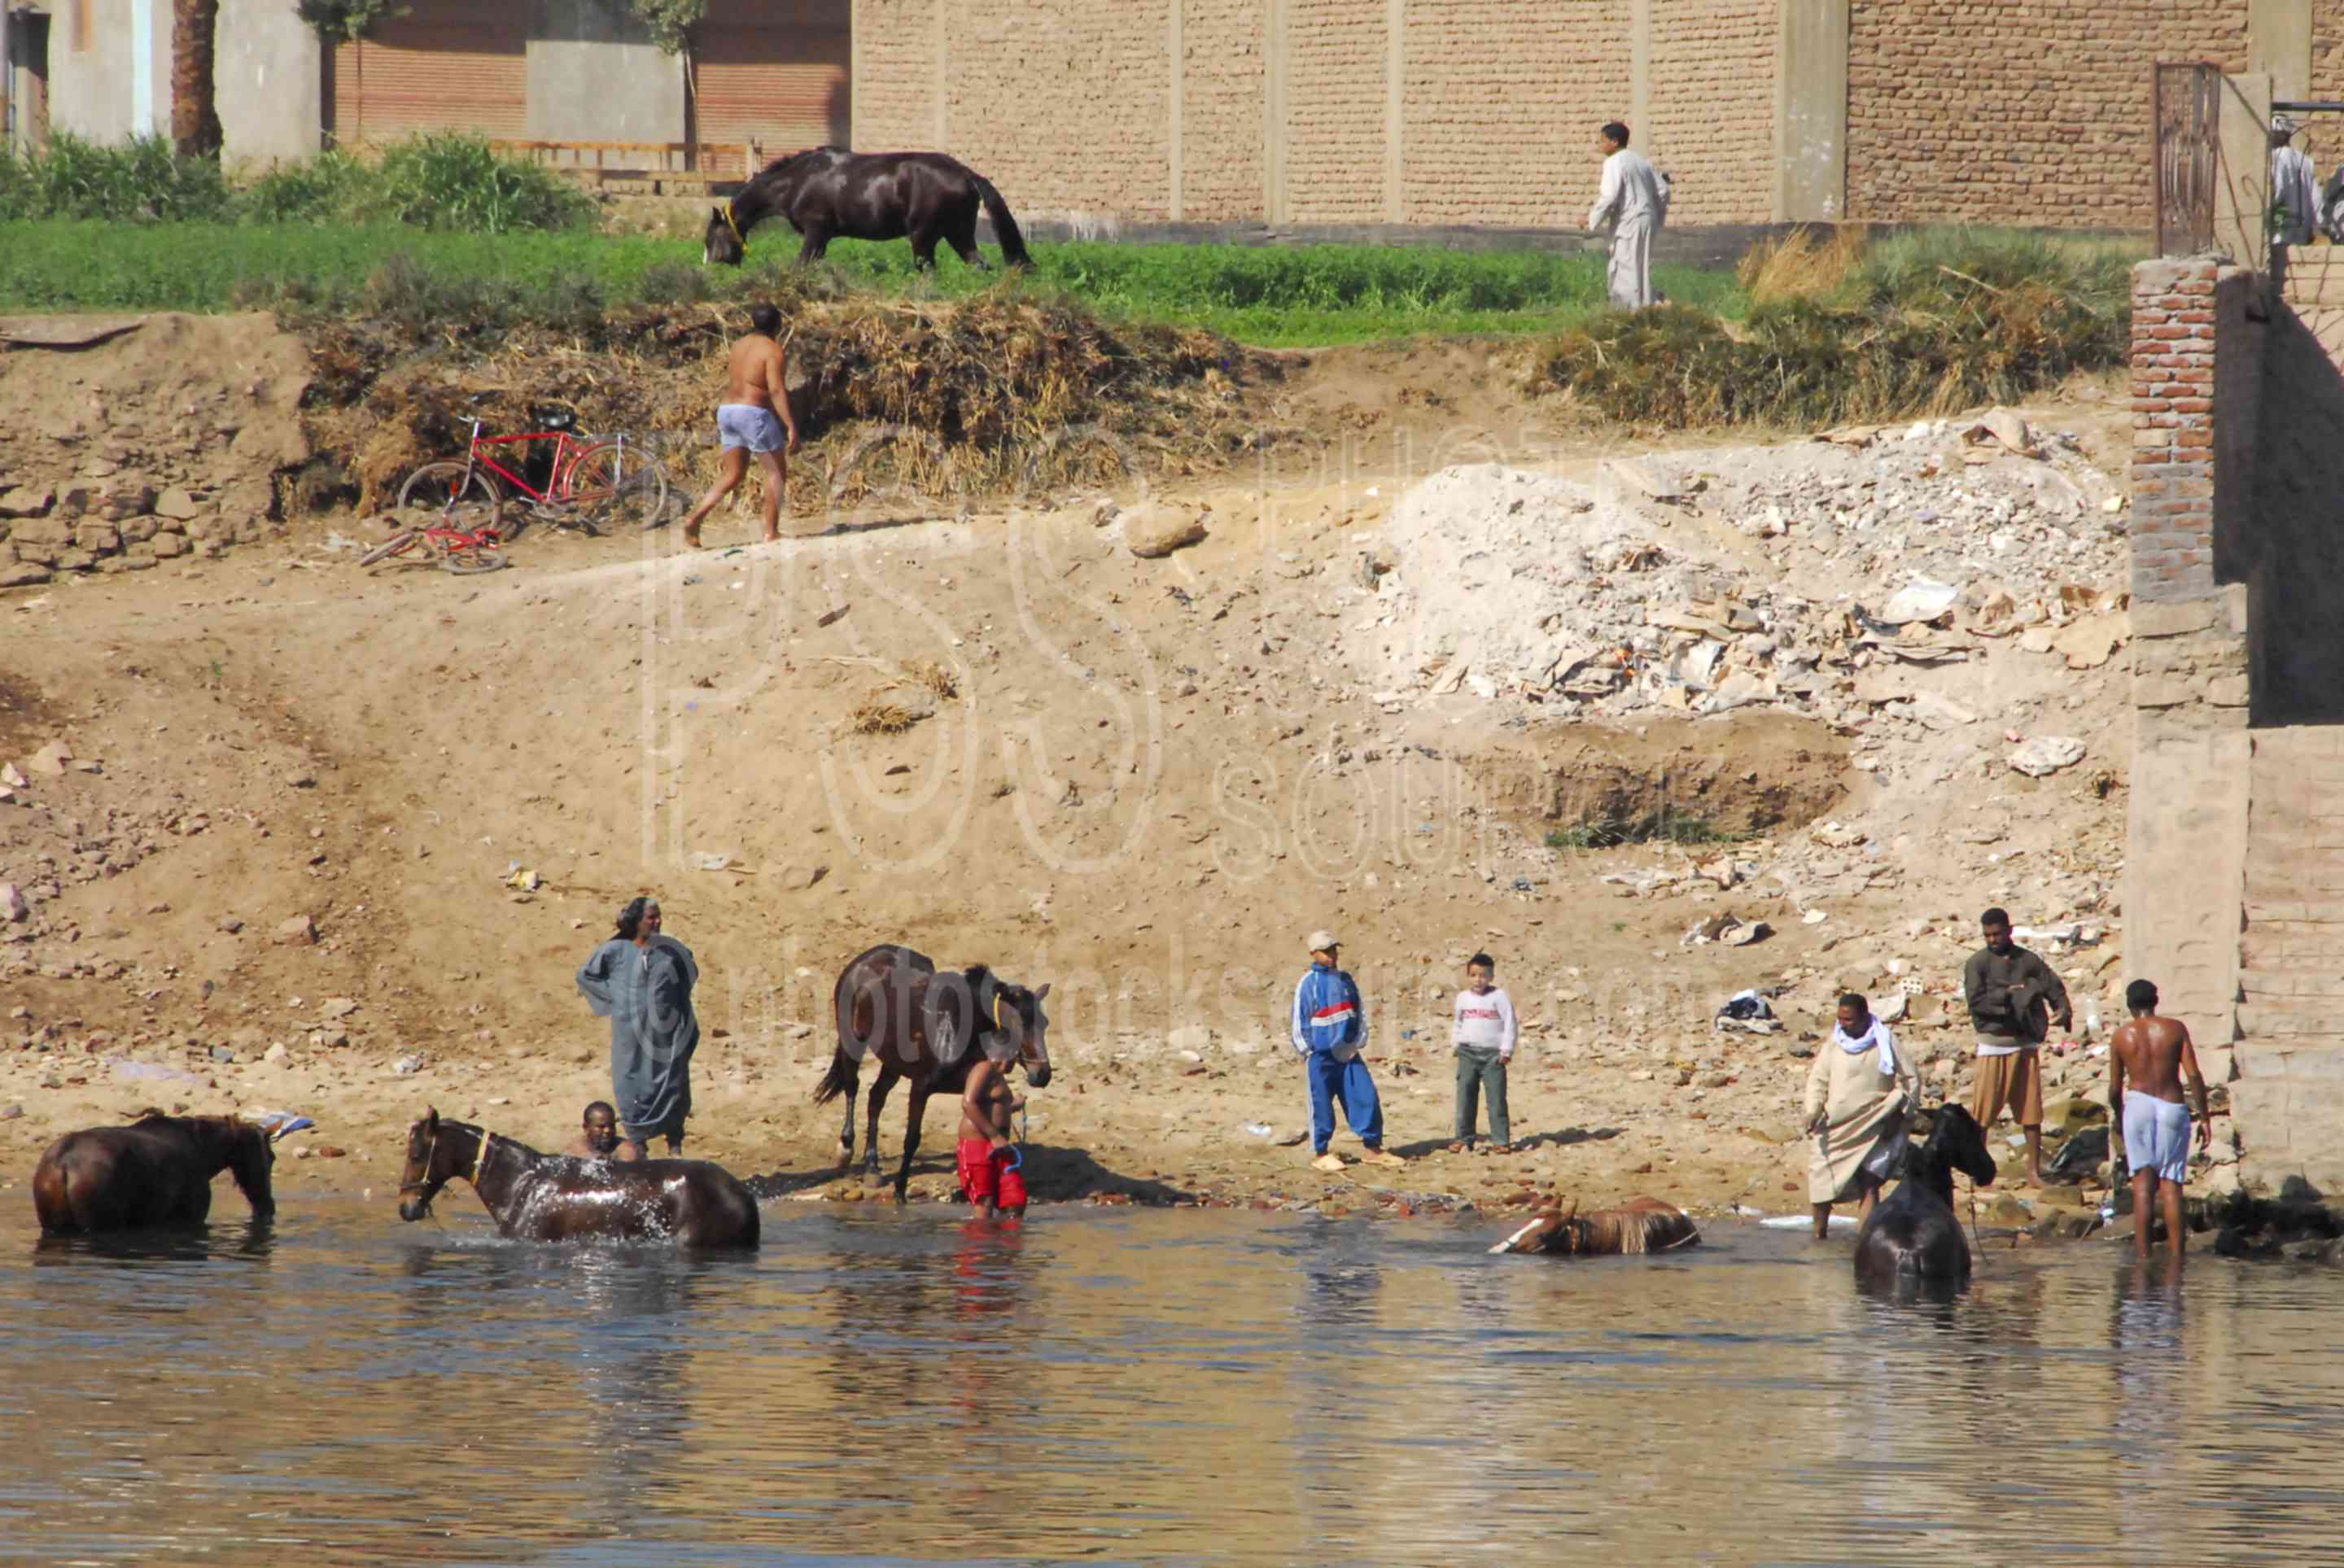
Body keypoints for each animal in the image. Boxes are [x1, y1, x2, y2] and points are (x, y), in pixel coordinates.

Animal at [32, 1109, 295, 1234]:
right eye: (272, 1157)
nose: (268, 1207)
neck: (206, 1153)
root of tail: (62, 1167)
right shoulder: (189, 1218)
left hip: (54, 1226)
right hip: (98, 1224)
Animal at [703, 147, 1031, 272]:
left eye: (710, 239)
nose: (711, 269)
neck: (799, 180)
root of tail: (966, 174)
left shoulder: (815, 232)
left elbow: (801, 265)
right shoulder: (822, 239)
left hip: (923, 237)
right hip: (958, 234)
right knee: (979, 265)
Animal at [815, 944, 1053, 1201]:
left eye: (1045, 1022)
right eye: (1018, 1023)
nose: (1043, 1074)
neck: (960, 1028)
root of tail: (863, 959)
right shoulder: (921, 1087)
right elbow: (912, 1138)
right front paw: (900, 1191)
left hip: (893, 1062)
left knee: (875, 1098)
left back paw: (872, 1168)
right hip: (853, 1041)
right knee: (852, 1086)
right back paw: (846, 1148)